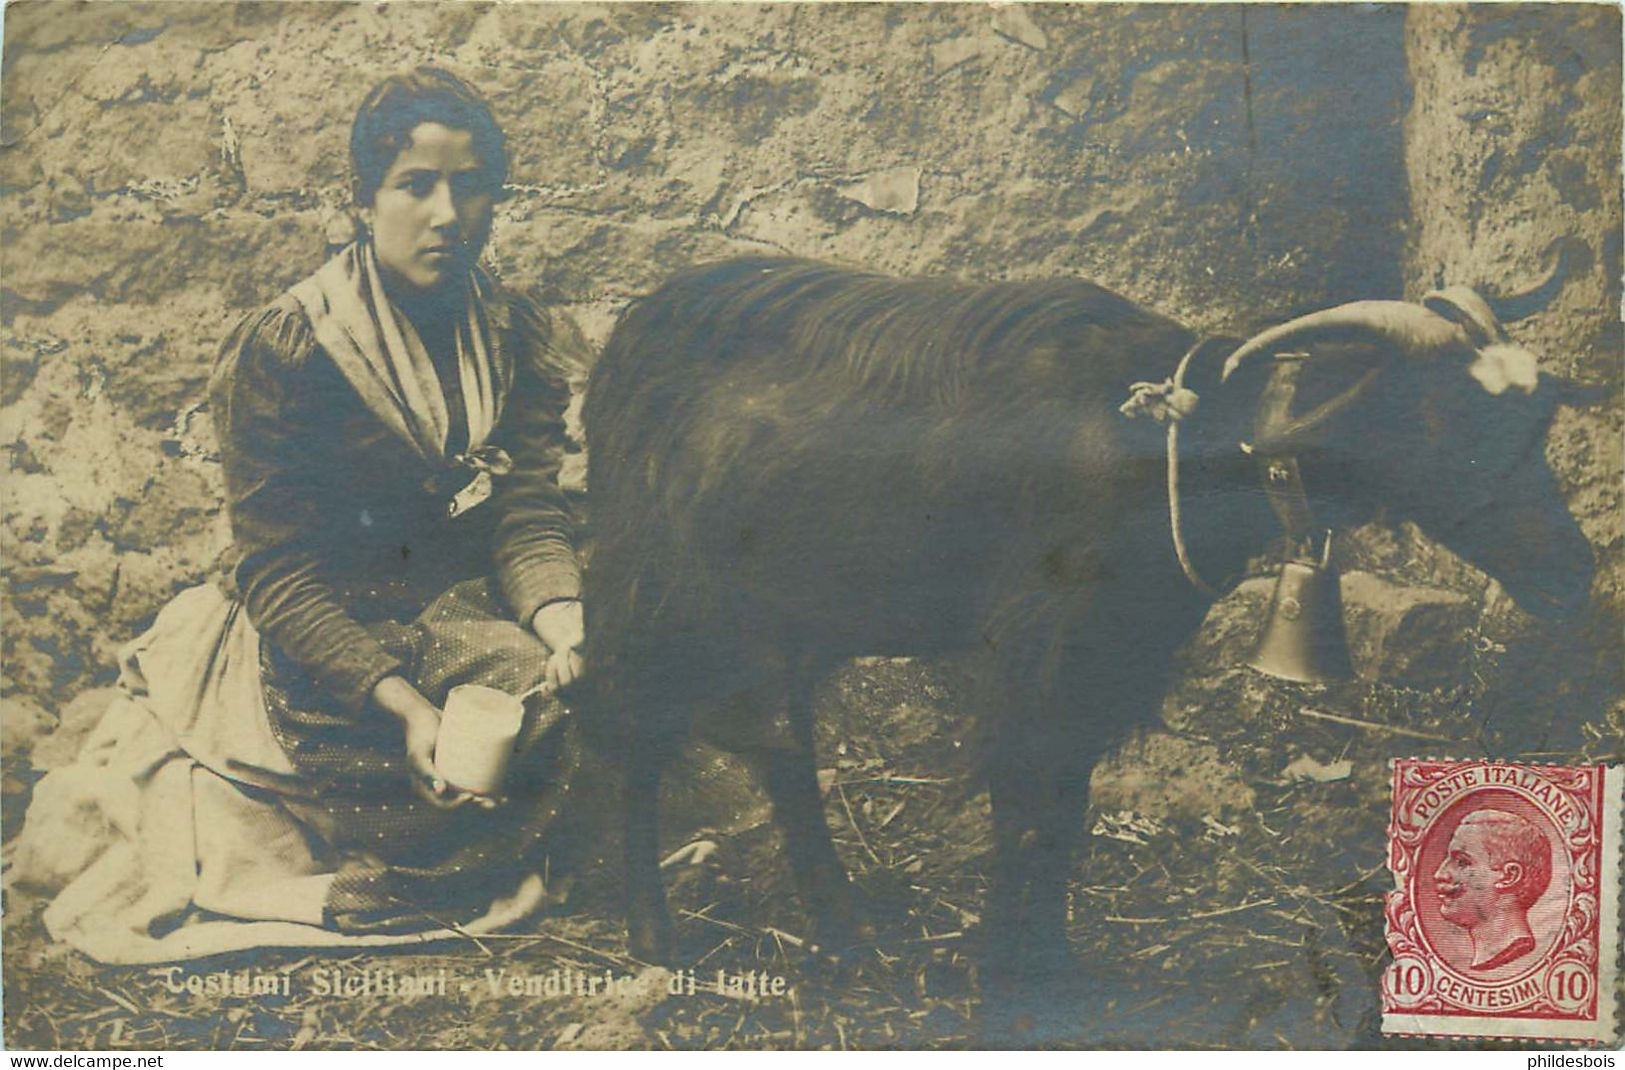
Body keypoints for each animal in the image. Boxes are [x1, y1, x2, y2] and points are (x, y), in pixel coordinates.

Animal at [581, 256, 1586, 1001]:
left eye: (1535, 415)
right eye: (1439, 419)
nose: (1570, 568)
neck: (1177, 445)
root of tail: (628, 338)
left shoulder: (1111, 652)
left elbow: (1062, 810)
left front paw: (1052, 963)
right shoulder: (1041, 652)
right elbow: (1028, 807)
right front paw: (1008, 979)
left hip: (786, 613)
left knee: (782, 754)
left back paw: (845, 927)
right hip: (661, 595)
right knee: (632, 733)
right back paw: (654, 936)